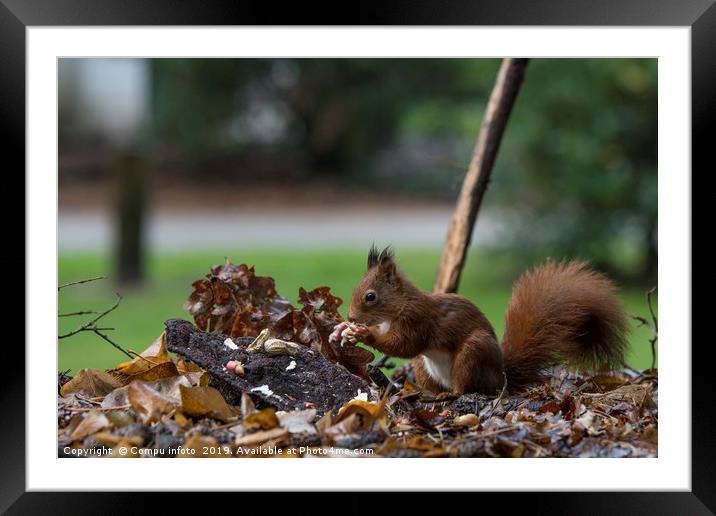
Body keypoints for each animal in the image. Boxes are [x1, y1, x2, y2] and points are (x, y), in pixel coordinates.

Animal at [330, 246, 628, 396]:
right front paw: (343, 330)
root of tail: (502, 377)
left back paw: (452, 393)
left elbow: (404, 345)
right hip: (423, 367)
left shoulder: (418, 319)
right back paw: (426, 393)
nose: (351, 316)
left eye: (370, 296)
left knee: (464, 388)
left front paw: (362, 335)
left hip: (473, 353)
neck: (396, 309)